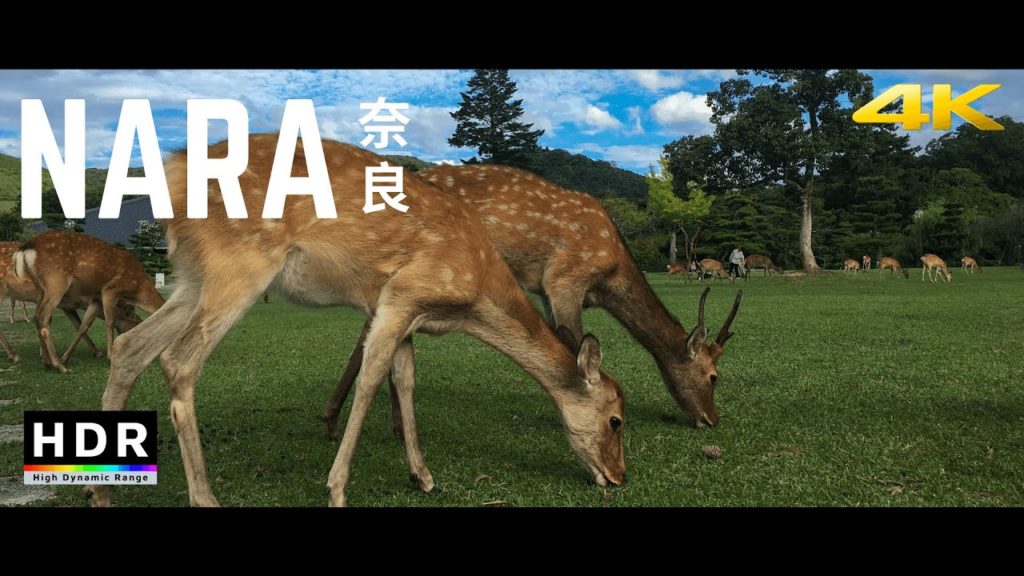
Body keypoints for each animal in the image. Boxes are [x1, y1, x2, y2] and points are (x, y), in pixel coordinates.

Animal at [14, 231, 165, 373]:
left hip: (40, 287)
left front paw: (66, 357)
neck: (137, 289)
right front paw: (110, 357)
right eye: (138, 327)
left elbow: (83, 326)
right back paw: (59, 366)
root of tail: (26, 247)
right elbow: (110, 322)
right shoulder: (110, 289)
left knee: (37, 316)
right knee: (43, 317)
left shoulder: (96, 297)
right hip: (56, 282)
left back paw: (47, 363)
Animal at [87, 134, 626, 508]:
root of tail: (172, 173)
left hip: (193, 276)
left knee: (131, 346)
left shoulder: (404, 312)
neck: (470, 297)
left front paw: (423, 477)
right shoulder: (403, 293)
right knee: (179, 360)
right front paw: (337, 489)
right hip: (239, 265)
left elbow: (404, 380)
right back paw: (205, 497)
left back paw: (100, 492)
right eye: (618, 419)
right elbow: (370, 381)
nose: (619, 477)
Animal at [323, 164, 741, 440]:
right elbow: (575, 343)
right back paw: (338, 419)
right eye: (713, 376)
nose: (712, 419)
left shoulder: (546, 290)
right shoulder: (565, 279)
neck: (610, 273)